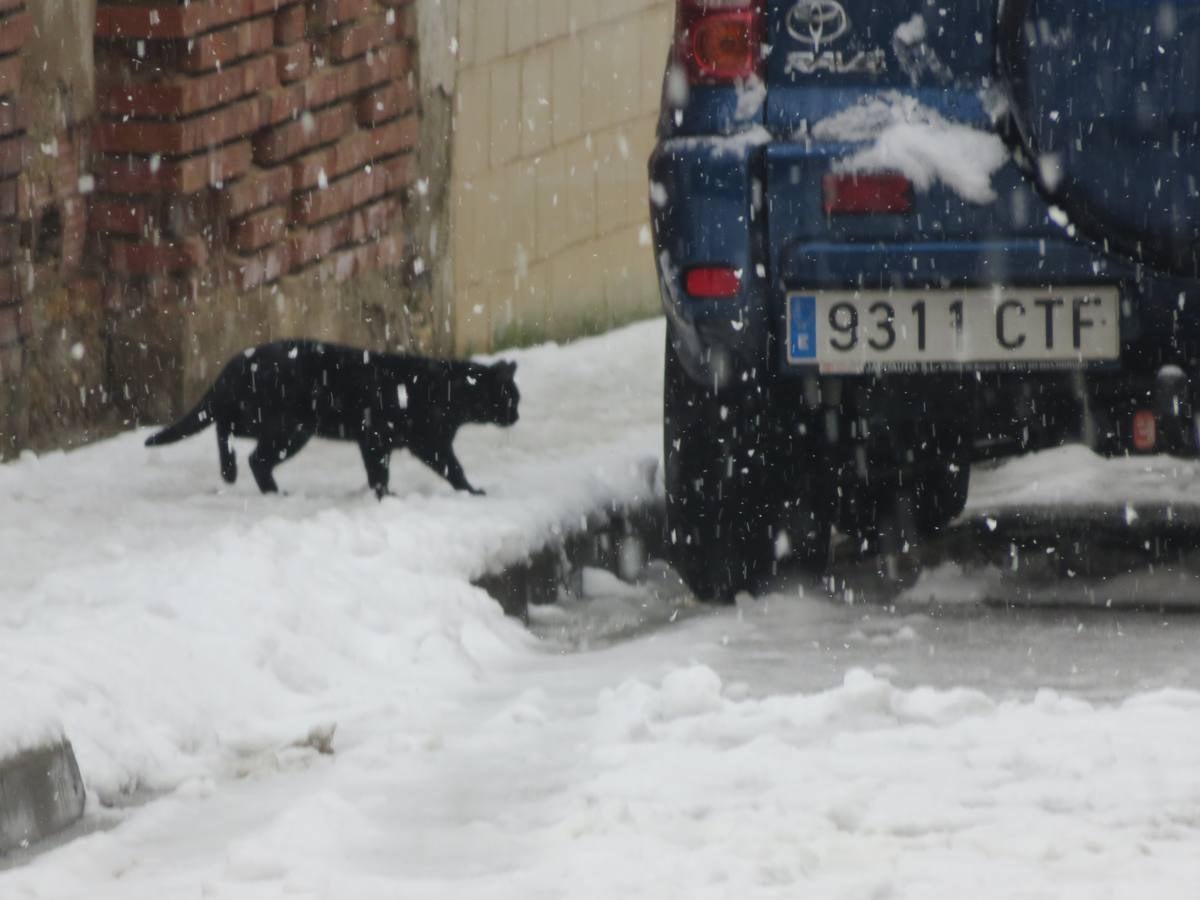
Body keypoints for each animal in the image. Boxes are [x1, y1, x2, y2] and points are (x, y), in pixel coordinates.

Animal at [142, 343, 518, 501]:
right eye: (512, 398)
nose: (516, 415)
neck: (451, 391)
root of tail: (236, 362)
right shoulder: (419, 442)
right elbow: (452, 468)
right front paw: (471, 491)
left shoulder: (375, 440)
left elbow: (376, 471)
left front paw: (381, 494)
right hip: (285, 427)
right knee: (238, 441)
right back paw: (241, 477)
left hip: (278, 427)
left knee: (241, 443)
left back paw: (258, 485)